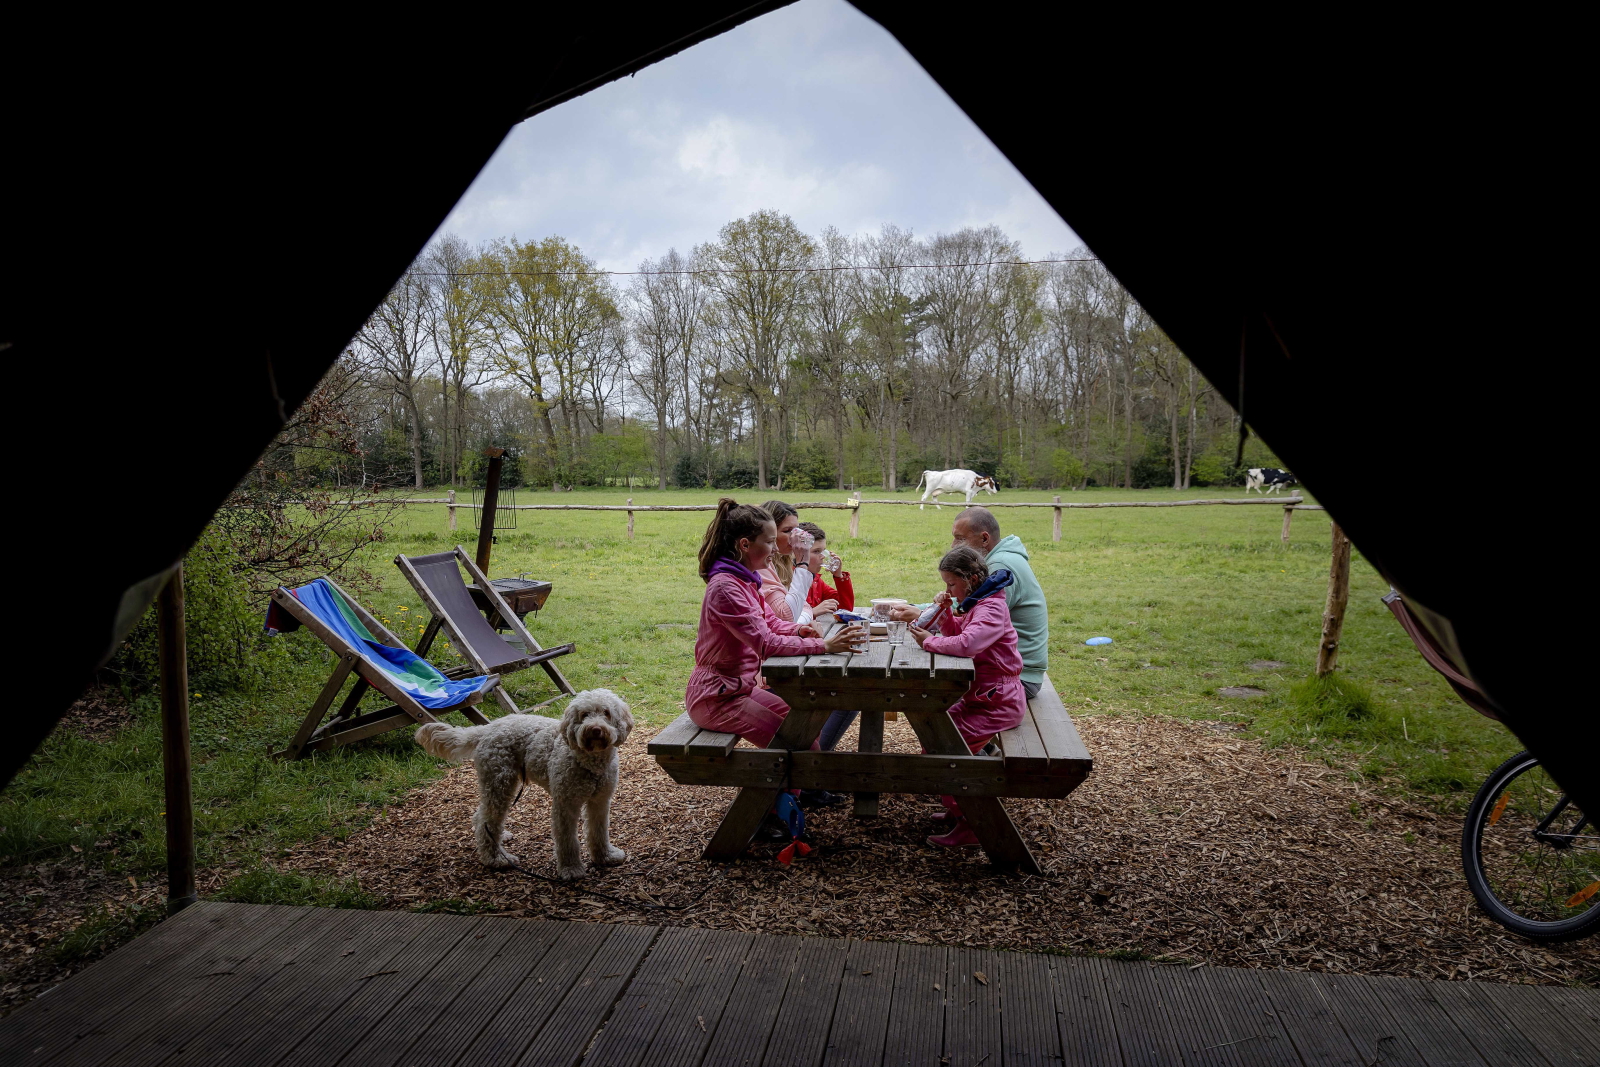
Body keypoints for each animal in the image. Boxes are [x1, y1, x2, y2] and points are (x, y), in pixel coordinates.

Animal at [416, 687, 633, 883]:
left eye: (606, 712)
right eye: (584, 714)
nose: (595, 729)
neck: (590, 763)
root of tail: (488, 728)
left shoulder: (600, 801)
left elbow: (599, 832)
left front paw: (605, 856)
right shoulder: (565, 805)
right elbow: (567, 840)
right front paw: (571, 869)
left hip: (496, 785)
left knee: (481, 817)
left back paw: (499, 839)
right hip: (500, 783)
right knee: (488, 820)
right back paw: (495, 858)